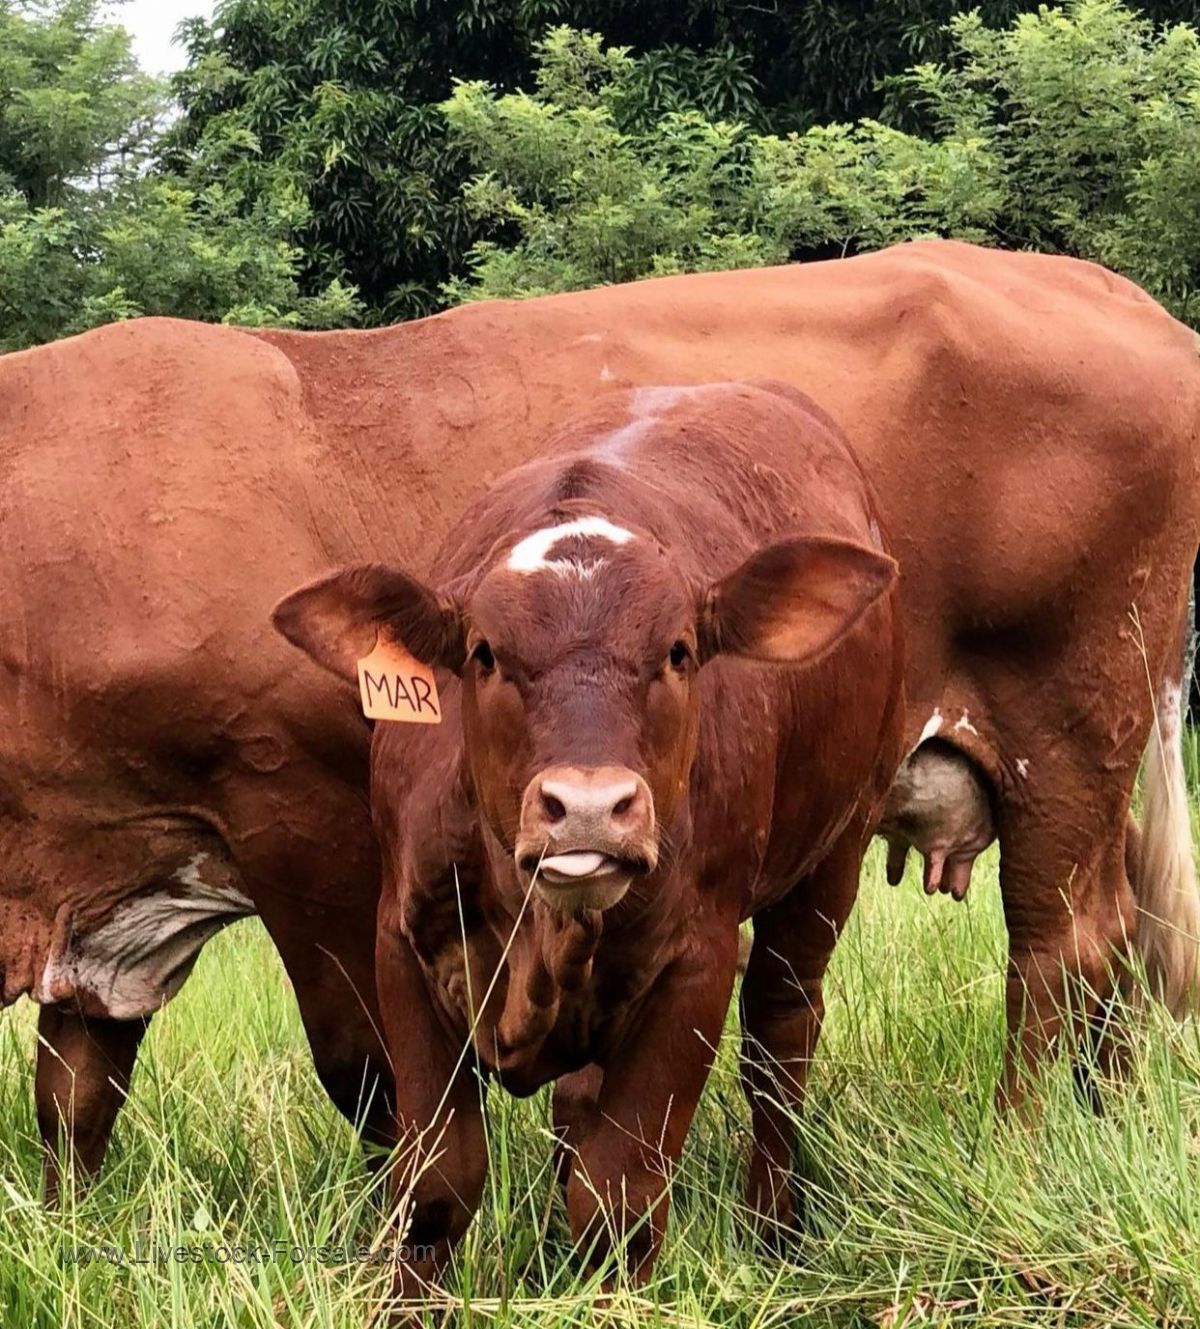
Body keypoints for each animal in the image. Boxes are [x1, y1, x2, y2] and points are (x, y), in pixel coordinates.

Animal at [1, 239, 1197, 1194]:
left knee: (1060, 951)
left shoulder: (303, 820)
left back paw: (1025, 1154)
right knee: (1122, 940)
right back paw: (1106, 1125)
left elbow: (370, 1079)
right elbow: (73, 1098)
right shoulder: (110, 902)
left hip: (1068, 733)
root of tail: (1105, 288)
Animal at [274, 379, 907, 1285]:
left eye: (680, 650)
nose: (587, 805)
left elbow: (620, 1196)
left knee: (781, 1037)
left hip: (837, 849)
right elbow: (435, 1185)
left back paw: (772, 1231)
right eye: (484, 653)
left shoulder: (696, 961)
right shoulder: (402, 941)